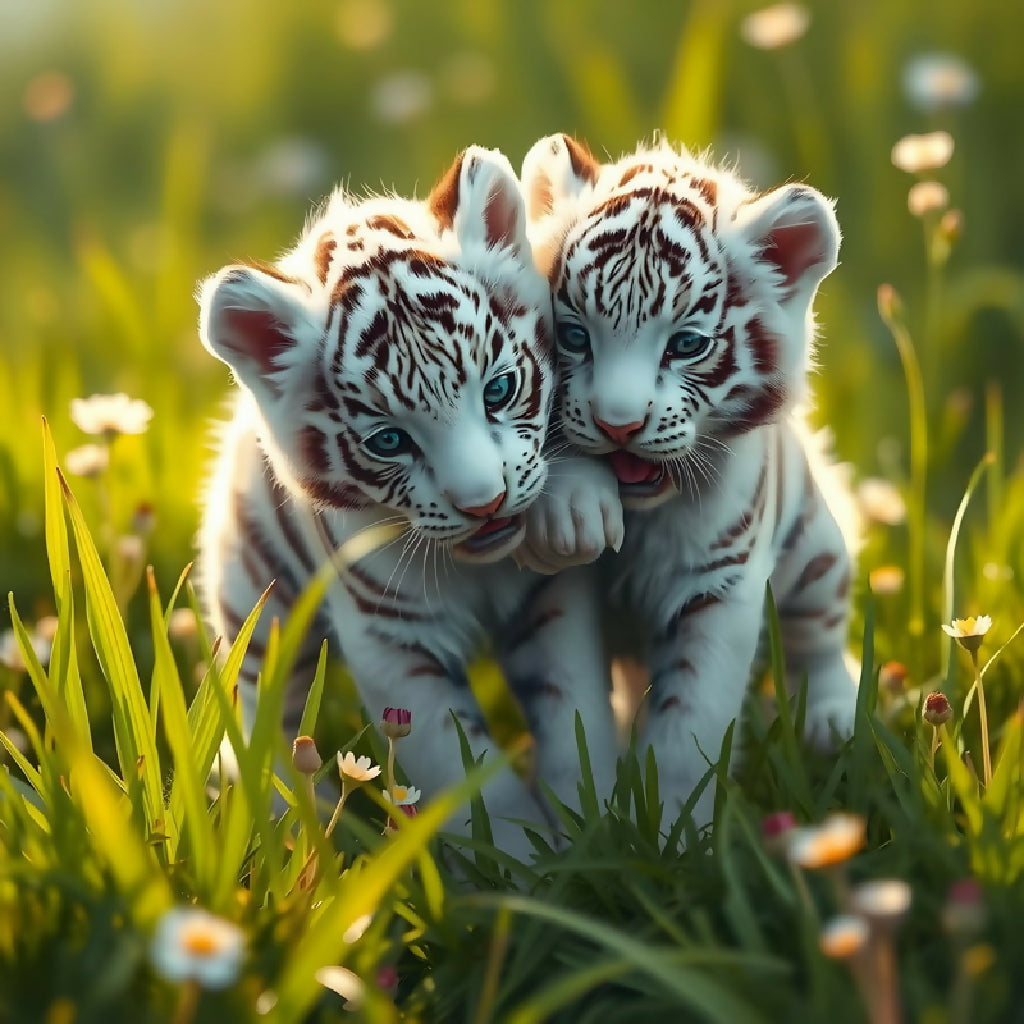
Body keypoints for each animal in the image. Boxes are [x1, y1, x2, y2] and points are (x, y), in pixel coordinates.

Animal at [196, 146, 621, 859]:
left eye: (500, 389)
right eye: (389, 440)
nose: (486, 504)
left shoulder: (551, 604)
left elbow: (574, 718)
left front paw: (595, 828)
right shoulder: (395, 645)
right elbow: (469, 780)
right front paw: (524, 865)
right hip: (258, 603)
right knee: (265, 716)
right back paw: (284, 832)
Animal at [519, 133, 859, 830]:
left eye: (686, 345)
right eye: (573, 335)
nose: (618, 424)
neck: (646, 513)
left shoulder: (717, 587)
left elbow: (690, 723)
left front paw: (671, 830)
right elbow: (571, 706)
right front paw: (583, 821)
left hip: (818, 554)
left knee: (820, 634)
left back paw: (831, 721)